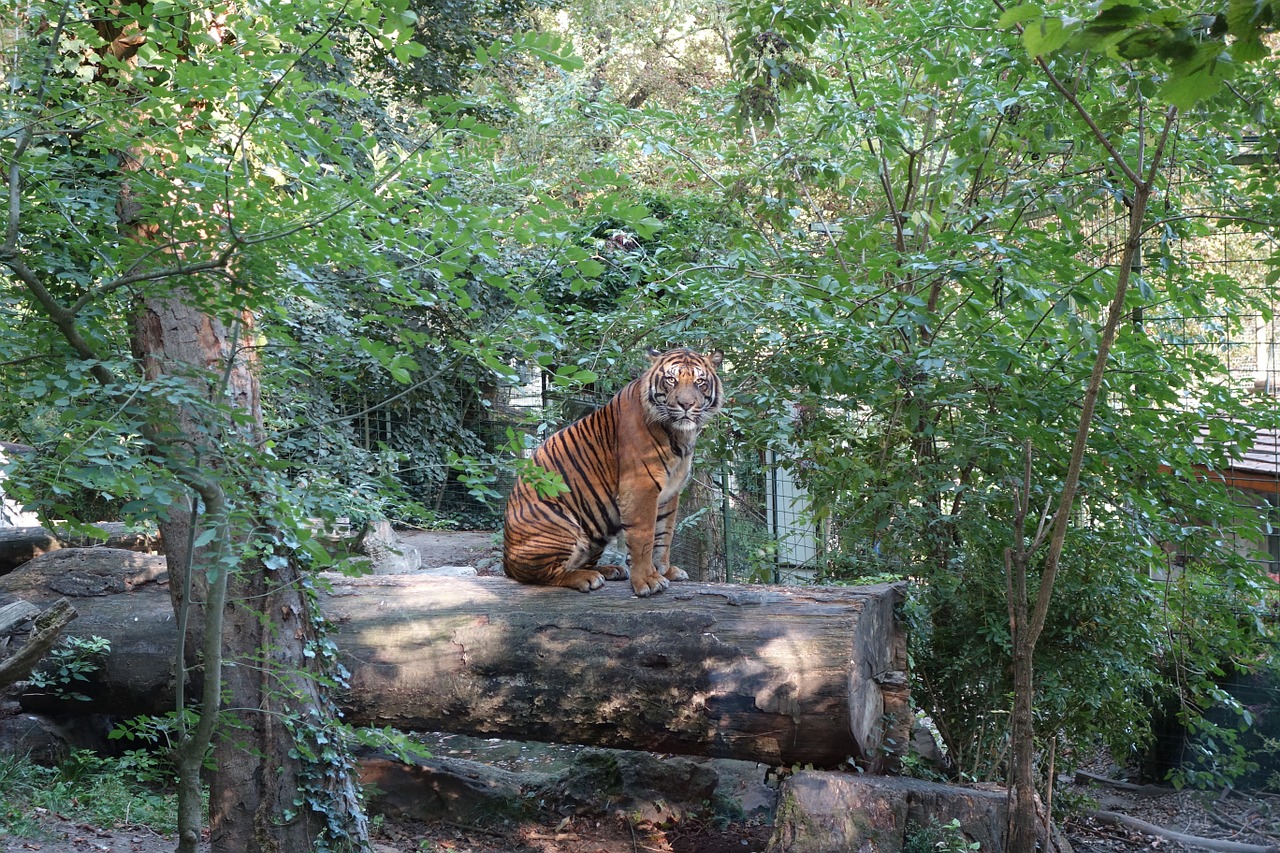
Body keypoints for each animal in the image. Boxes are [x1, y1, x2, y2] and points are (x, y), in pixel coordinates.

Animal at [496, 343, 721, 591]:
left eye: (699, 382)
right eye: (671, 380)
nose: (686, 405)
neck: (679, 435)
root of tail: (506, 563)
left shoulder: (670, 492)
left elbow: (664, 536)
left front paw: (665, 571)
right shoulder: (641, 487)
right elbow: (644, 538)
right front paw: (648, 580)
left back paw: (610, 570)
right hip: (558, 521)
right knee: (548, 575)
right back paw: (587, 578)